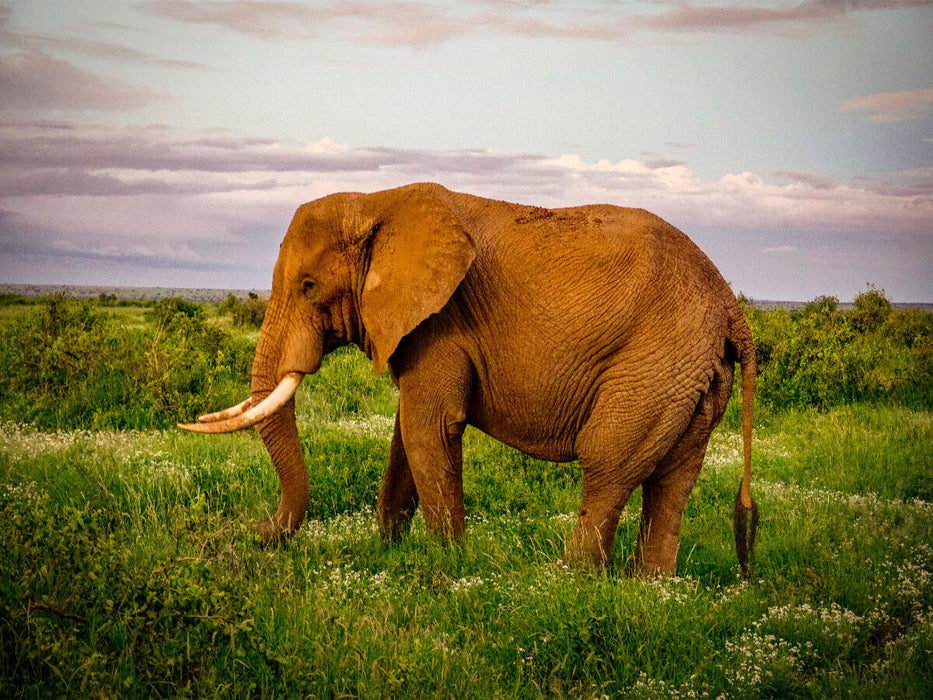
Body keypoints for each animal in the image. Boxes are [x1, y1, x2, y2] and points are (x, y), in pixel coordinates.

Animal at [180, 182, 758, 577]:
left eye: (307, 286)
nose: (256, 530)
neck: (376, 202)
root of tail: (732, 309)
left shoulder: (441, 321)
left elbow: (427, 428)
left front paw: (445, 569)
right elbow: (406, 434)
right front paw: (387, 552)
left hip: (655, 361)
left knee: (608, 463)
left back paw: (569, 581)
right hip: (693, 375)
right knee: (673, 480)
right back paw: (652, 588)